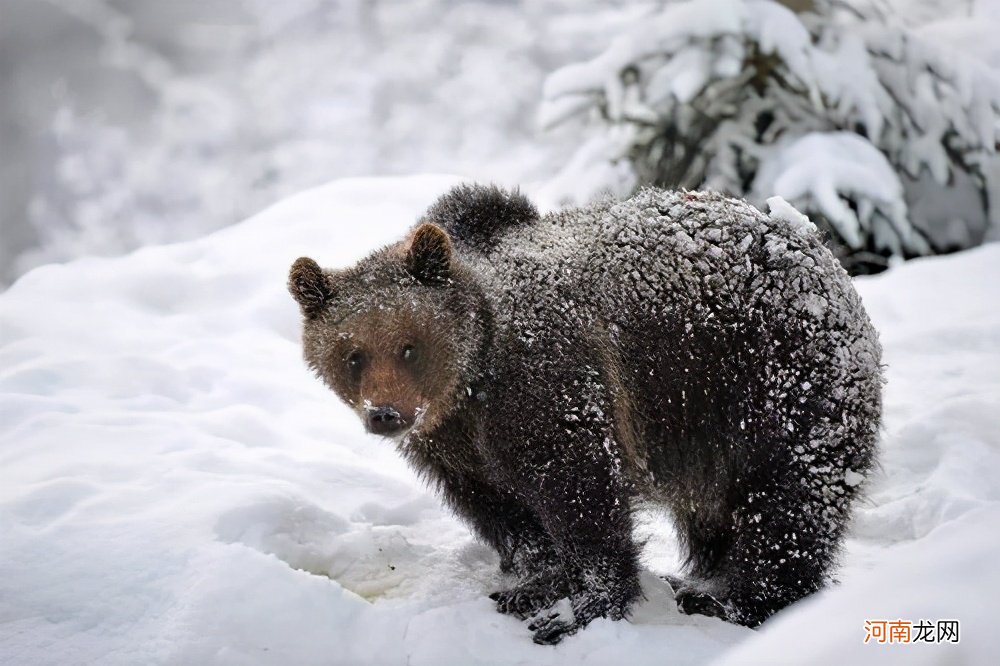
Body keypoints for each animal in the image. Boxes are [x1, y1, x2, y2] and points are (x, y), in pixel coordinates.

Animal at [290, 183, 884, 644]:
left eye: (409, 346)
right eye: (352, 353)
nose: (386, 414)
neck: (470, 384)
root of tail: (818, 247)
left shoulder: (548, 384)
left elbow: (580, 494)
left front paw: (578, 608)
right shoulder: (454, 447)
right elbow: (502, 510)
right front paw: (535, 582)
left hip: (771, 378)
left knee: (789, 503)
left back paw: (736, 601)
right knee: (719, 512)